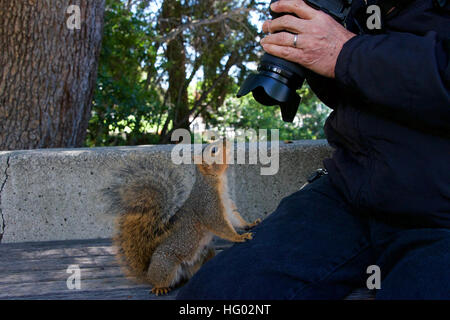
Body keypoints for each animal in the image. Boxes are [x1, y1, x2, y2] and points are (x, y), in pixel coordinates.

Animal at [104, 139, 260, 296]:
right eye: (214, 150)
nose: (225, 139)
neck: (214, 181)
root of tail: (148, 273)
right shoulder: (208, 206)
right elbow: (219, 225)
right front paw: (239, 237)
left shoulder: (227, 207)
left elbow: (235, 220)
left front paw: (251, 224)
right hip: (166, 264)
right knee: (160, 279)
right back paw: (160, 287)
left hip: (203, 254)